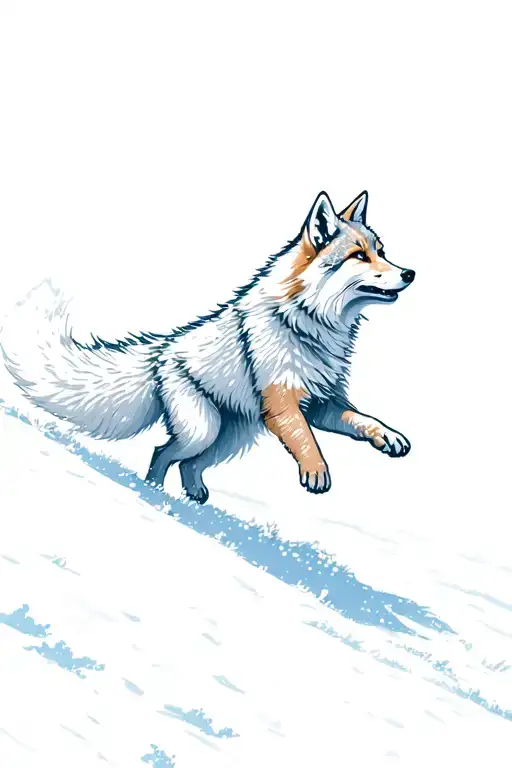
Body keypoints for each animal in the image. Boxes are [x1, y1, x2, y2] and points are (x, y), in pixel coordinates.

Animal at [1, 190, 415, 504]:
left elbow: (363, 420)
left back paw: (192, 497)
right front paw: (315, 470)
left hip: (229, 438)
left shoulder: (322, 402)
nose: (410, 273)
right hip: (205, 430)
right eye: (359, 255)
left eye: (381, 251)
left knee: (186, 463)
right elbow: (306, 439)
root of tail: (161, 352)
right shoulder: (283, 403)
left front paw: (387, 437)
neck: (307, 323)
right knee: (162, 452)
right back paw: (152, 495)